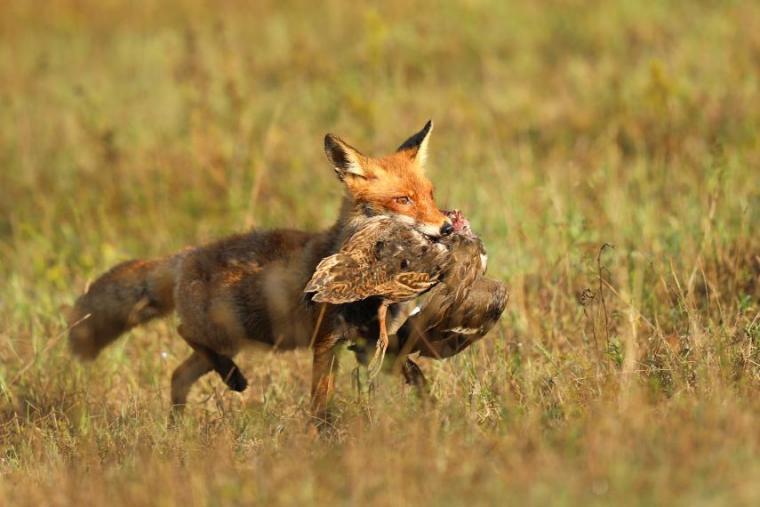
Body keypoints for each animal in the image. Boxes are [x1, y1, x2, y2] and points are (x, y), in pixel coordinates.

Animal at [67, 121, 458, 418]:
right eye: (402, 200)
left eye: (431, 195)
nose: (447, 228)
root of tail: (187, 255)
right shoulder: (326, 341)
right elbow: (320, 405)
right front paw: (323, 440)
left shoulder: (374, 341)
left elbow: (414, 374)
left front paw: (433, 413)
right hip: (223, 332)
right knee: (183, 333)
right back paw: (230, 380)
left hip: (232, 339)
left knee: (178, 374)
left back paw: (180, 424)